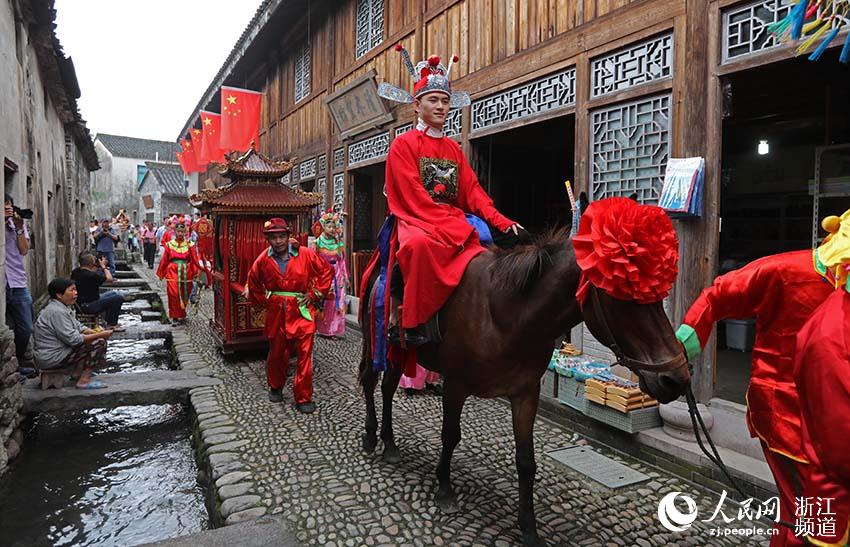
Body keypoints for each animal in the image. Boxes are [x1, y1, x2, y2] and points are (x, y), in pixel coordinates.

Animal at [356, 228, 688, 547]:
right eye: (624, 296)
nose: (676, 377)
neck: (506, 315)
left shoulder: (525, 393)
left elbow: (526, 461)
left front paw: (528, 527)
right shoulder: (455, 385)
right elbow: (450, 436)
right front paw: (445, 490)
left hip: (399, 354)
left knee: (387, 388)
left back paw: (389, 443)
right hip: (377, 341)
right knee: (372, 382)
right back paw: (372, 437)